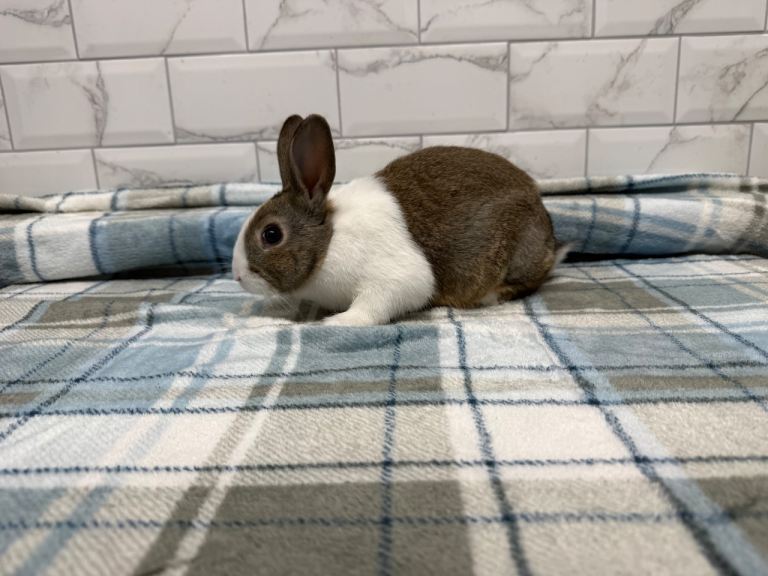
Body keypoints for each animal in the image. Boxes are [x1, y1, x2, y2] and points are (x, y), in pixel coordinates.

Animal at [232, 113, 565, 326]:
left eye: (271, 234)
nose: (237, 276)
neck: (329, 240)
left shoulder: (392, 279)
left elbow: (373, 307)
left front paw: (336, 322)